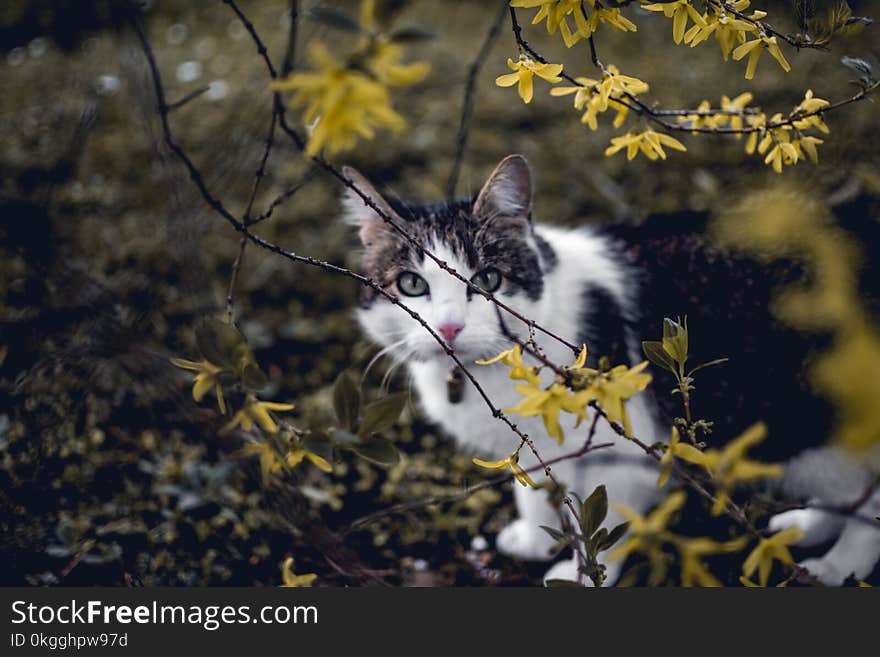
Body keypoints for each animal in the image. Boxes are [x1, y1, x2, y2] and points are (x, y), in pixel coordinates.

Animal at [342, 156, 880, 588]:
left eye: (488, 279)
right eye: (412, 284)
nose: (450, 327)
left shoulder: (625, 449)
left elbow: (605, 522)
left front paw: (583, 575)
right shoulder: (533, 442)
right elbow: (535, 488)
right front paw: (534, 539)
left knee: (867, 499)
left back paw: (838, 566)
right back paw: (807, 526)